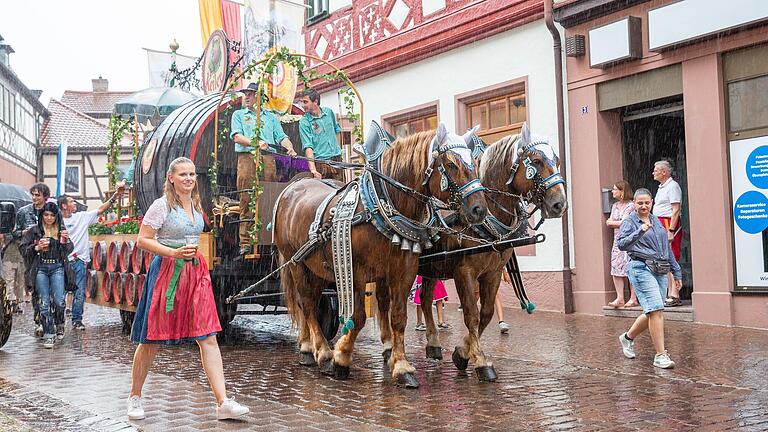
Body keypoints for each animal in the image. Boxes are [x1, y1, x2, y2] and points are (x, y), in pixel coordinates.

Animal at [274, 122, 486, 388]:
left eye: (473, 163)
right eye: (451, 164)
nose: (479, 209)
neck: (382, 206)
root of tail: (292, 188)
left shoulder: (403, 269)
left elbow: (398, 316)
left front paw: (401, 366)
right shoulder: (355, 270)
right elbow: (358, 317)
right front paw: (341, 357)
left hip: (316, 267)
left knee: (306, 302)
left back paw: (305, 346)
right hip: (295, 262)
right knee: (307, 303)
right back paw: (322, 352)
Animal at [380, 122, 568, 382]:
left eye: (557, 160)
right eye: (537, 161)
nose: (560, 204)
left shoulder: (493, 273)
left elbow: (486, 313)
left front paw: (461, 353)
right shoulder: (465, 272)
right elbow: (471, 313)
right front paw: (479, 360)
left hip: (431, 268)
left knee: (426, 299)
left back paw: (433, 344)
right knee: (384, 302)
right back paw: (389, 348)